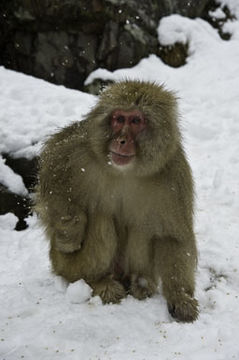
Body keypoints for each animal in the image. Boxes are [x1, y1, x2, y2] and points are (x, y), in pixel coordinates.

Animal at [35, 81, 199, 324]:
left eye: (136, 121)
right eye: (119, 119)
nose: (121, 140)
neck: (127, 170)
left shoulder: (174, 174)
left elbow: (171, 237)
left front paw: (180, 296)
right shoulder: (78, 146)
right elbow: (50, 177)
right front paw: (70, 231)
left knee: (143, 225)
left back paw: (140, 283)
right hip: (63, 264)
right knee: (101, 217)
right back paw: (98, 282)